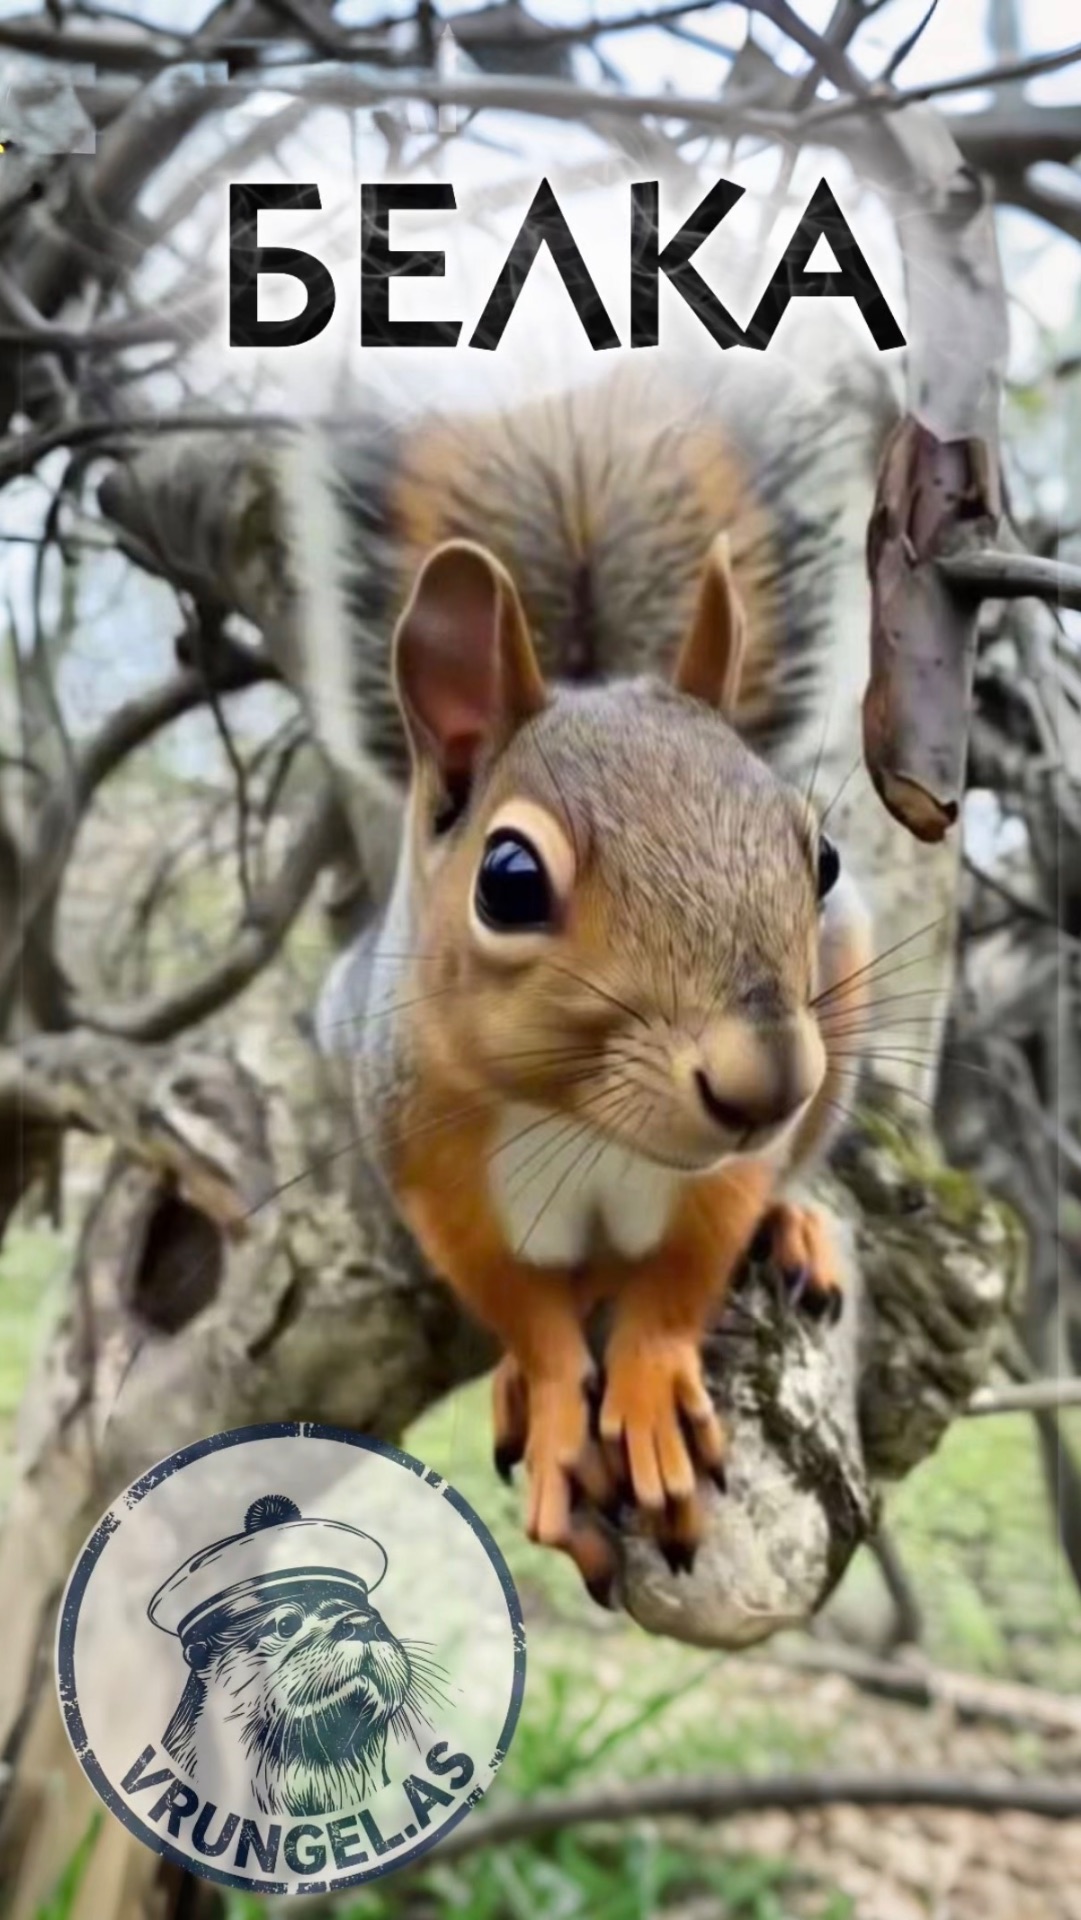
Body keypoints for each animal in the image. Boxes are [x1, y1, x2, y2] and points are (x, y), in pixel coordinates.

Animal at [283, 360, 879, 1606]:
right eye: (509, 880)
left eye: (822, 856)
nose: (765, 1083)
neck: (583, 1118)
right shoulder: (433, 1173)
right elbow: (526, 1314)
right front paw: (558, 1407)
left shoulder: (717, 1181)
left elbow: (677, 1286)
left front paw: (648, 1398)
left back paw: (796, 1230)